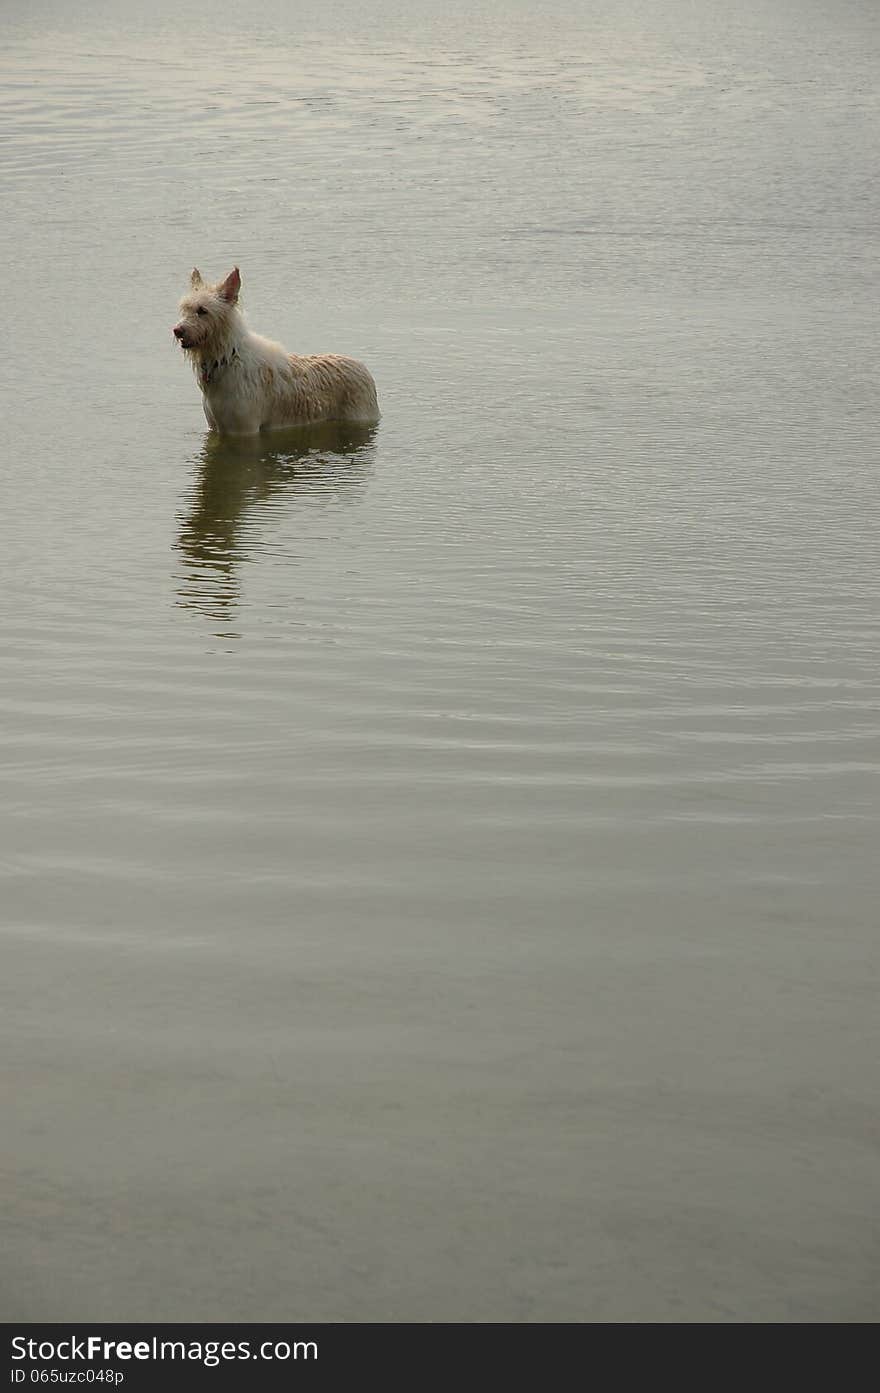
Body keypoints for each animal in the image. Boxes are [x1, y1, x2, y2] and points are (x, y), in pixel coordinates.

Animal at [172, 263, 378, 431]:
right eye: (185, 309)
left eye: (202, 311)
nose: (177, 331)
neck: (226, 357)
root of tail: (362, 367)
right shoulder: (217, 427)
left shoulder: (243, 431)